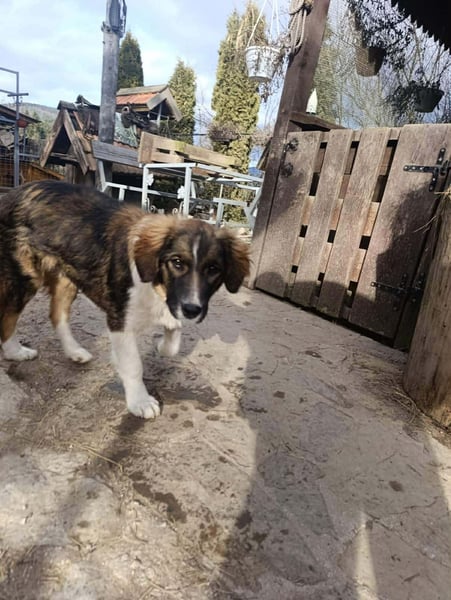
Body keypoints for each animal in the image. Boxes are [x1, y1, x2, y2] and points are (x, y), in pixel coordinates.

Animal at [0, 180, 250, 418]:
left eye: (213, 269)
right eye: (177, 263)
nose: (192, 310)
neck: (157, 285)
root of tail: (13, 193)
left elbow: (172, 339)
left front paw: (162, 345)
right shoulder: (119, 320)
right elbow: (133, 364)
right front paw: (140, 401)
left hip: (67, 277)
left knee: (56, 314)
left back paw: (74, 351)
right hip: (25, 276)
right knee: (9, 318)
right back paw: (15, 352)